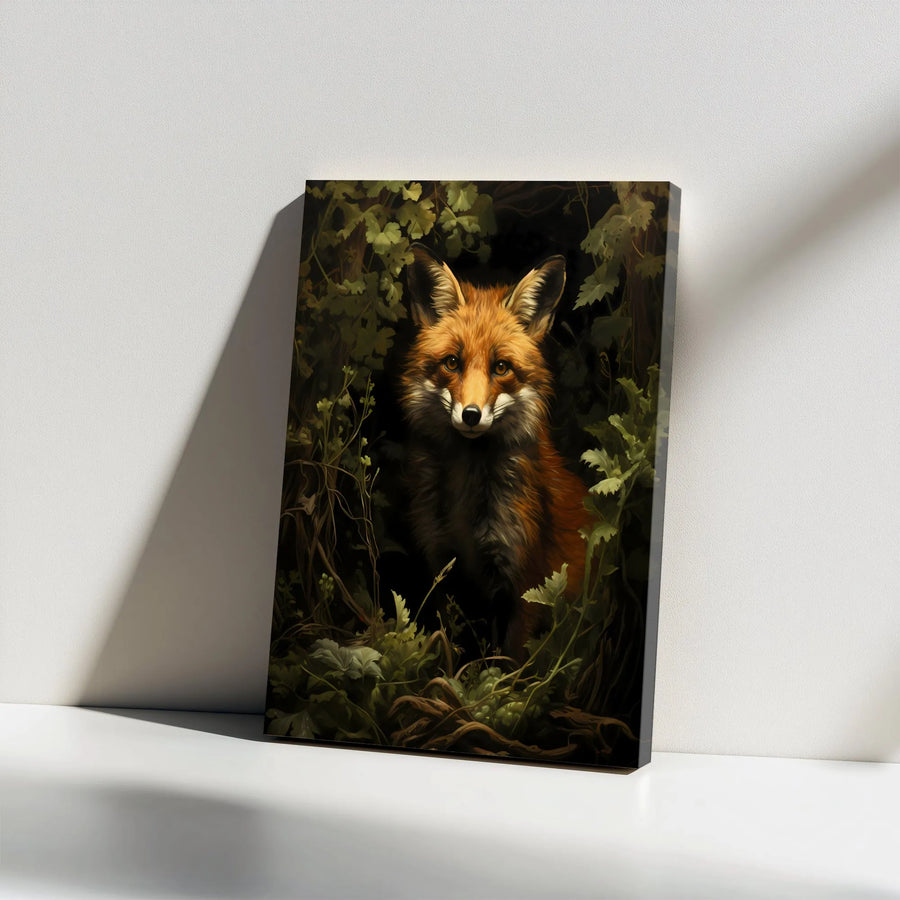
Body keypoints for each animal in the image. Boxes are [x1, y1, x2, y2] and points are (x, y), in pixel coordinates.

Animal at [400, 243, 589, 658]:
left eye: (501, 367)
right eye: (452, 363)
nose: (471, 415)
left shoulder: (526, 585)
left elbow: (509, 665)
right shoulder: (444, 571)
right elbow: (450, 656)